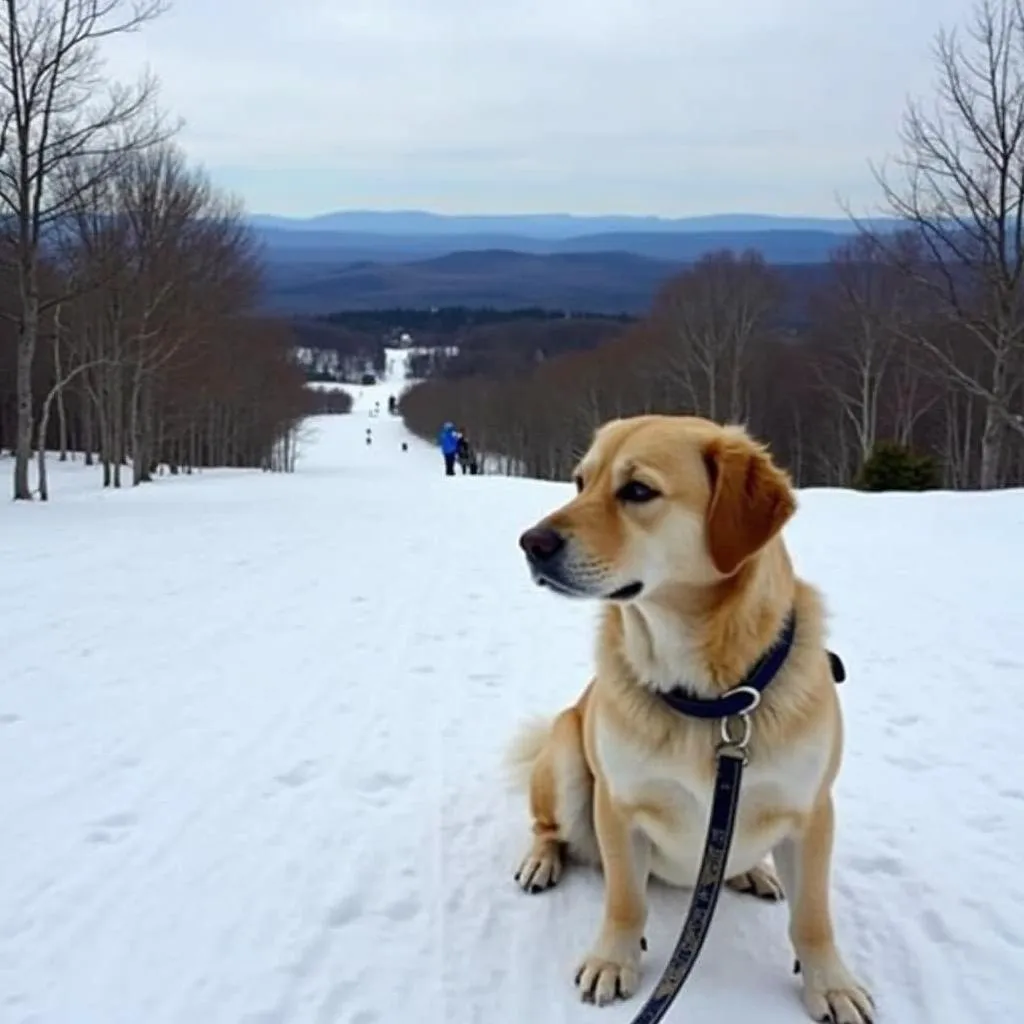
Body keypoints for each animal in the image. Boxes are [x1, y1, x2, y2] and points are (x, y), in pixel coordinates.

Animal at [503, 413, 872, 1024]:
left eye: (637, 491)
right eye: (580, 482)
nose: (531, 543)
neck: (712, 699)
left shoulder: (811, 811)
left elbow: (812, 918)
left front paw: (831, 984)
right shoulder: (619, 806)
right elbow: (626, 901)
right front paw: (613, 961)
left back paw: (751, 870)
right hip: (567, 754)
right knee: (547, 828)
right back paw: (541, 861)